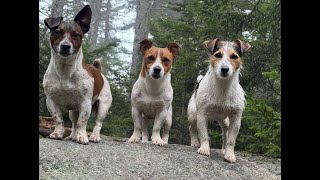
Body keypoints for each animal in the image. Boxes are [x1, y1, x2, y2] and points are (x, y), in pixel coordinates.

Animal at [42, 4, 112, 144]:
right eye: (58, 32)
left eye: (76, 35)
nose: (65, 46)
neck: (65, 71)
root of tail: (98, 70)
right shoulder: (51, 101)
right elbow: (58, 119)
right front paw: (58, 133)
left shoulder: (85, 103)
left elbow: (82, 122)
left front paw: (82, 136)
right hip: (73, 111)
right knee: (74, 123)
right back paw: (72, 136)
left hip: (103, 107)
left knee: (98, 123)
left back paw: (94, 136)